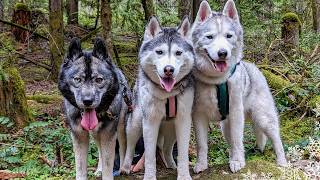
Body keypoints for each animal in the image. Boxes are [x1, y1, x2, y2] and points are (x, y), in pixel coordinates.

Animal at [57, 37, 129, 179]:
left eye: (99, 80)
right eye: (77, 79)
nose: (87, 101)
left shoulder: (108, 135)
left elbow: (108, 166)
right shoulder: (79, 136)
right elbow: (80, 168)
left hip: (120, 128)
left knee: (123, 147)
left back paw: (123, 168)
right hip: (96, 133)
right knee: (100, 150)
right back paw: (99, 169)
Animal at [120, 16, 195, 179]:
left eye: (178, 53)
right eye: (159, 52)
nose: (169, 69)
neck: (168, 94)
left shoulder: (183, 120)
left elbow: (183, 154)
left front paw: (183, 174)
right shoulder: (150, 122)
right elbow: (149, 156)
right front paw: (149, 176)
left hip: (171, 129)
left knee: (166, 148)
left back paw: (171, 164)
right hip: (135, 123)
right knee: (130, 146)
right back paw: (125, 167)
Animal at [190, 0, 288, 174]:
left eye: (229, 36)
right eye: (209, 37)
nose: (223, 53)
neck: (216, 81)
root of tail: (254, 67)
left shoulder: (236, 112)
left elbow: (237, 140)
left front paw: (238, 161)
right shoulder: (198, 115)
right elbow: (202, 145)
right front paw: (201, 164)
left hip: (263, 118)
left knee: (276, 139)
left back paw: (282, 162)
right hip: (225, 127)